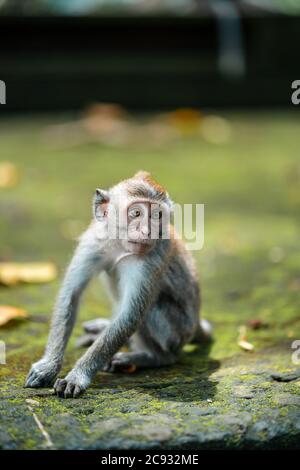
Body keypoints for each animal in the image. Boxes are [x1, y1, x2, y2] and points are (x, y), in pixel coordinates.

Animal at [25, 171, 211, 398]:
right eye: (136, 213)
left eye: (157, 215)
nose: (147, 231)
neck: (119, 245)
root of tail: (195, 324)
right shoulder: (92, 241)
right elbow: (71, 295)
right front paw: (48, 366)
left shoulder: (152, 258)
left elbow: (131, 314)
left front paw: (77, 376)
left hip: (175, 334)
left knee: (154, 316)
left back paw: (150, 357)